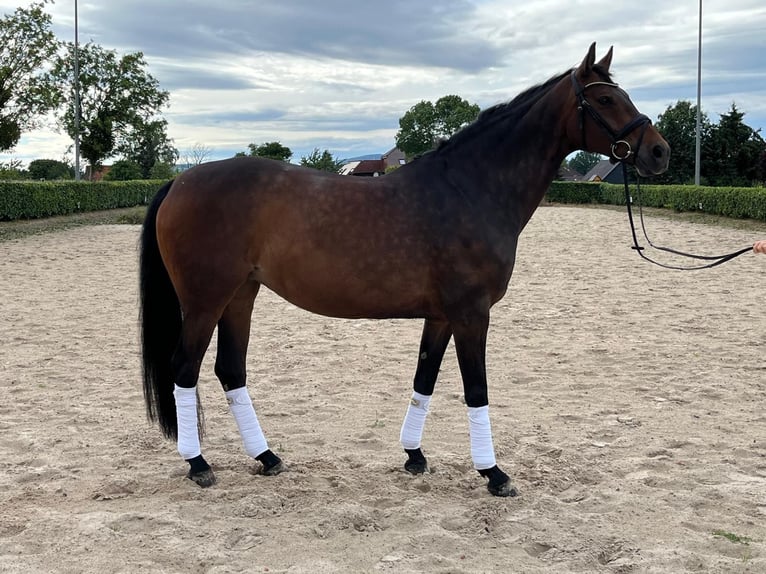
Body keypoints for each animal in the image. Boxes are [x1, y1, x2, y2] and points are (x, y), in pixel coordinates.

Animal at [140, 42, 672, 498]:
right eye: (605, 98)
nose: (659, 151)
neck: (469, 189)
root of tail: (180, 182)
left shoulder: (440, 316)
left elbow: (425, 379)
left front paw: (414, 456)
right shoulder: (472, 314)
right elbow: (476, 388)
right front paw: (494, 473)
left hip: (241, 295)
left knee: (230, 370)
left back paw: (266, 457)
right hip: (205, 300)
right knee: (184, 369)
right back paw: (198, 464)